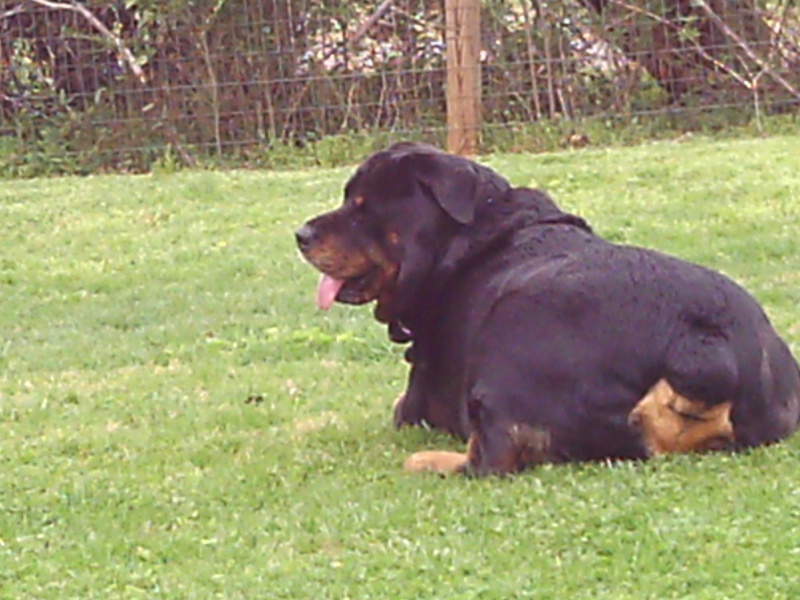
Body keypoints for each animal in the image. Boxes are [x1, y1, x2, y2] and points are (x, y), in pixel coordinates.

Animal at [296, 143, 800, 476]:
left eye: (362, 207)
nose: (301, 234)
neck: (464, 241)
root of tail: (703, 340)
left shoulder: (418, 401)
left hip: (510, 338)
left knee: (488, 461)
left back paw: (427, 461)